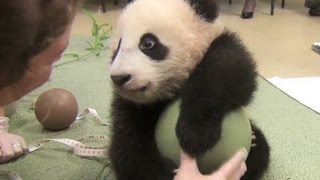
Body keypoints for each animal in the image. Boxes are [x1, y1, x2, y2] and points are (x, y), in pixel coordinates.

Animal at [109, 0, 268, 180]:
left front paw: (196, 133)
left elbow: (230, 70)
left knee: (260, 152)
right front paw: (167, 170)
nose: (119, 78)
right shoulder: (133, 107)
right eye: (118, 46)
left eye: (148, 43)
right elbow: (128, 149)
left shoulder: (218, 45)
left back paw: (254, 142)